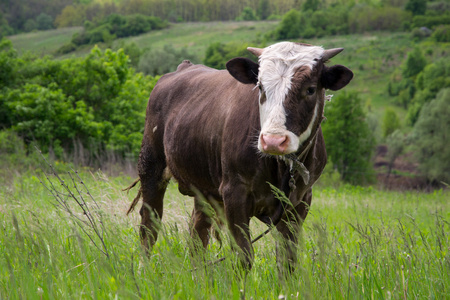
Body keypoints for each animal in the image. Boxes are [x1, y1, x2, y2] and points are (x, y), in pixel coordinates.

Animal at [125, 41, 352, 268]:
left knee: (197, 234)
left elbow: (287, 260)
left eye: (310, 89)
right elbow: (244, 254)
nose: (273, 141)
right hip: (150, 167)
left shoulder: (301, 201)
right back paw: (145, 267)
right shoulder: (234, 192)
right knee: (150, 223)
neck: (280, 168)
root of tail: (184, 67)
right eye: (260, 86)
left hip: (203, 189)